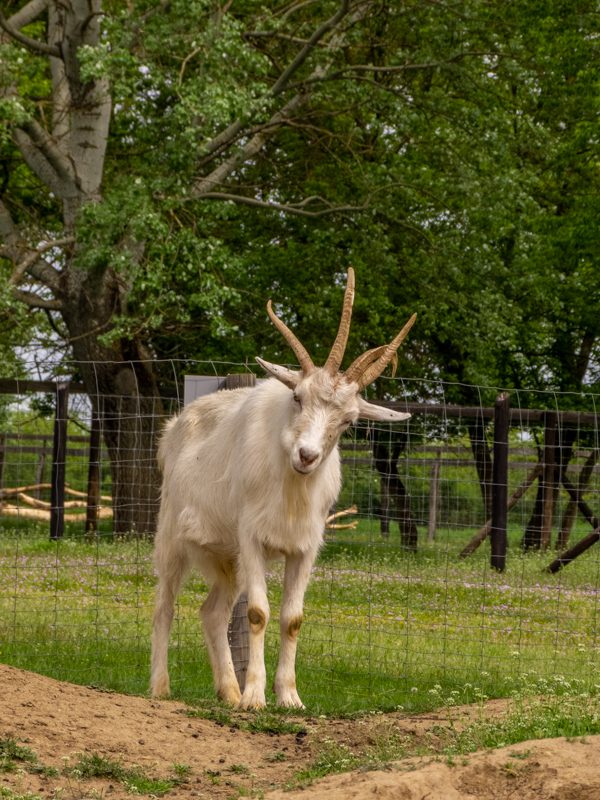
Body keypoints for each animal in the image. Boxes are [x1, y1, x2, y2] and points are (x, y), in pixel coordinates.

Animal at [150, 269, 416, 709]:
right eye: (297, 397)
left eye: (349, 421)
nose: (306, 456)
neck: (290, 487)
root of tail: (176, 424)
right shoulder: (251, 538)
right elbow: (258, 613)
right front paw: (255, 698)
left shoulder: (305, 547)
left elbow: (293, 619)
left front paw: (289, 697)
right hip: (173, 535)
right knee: (164, 604)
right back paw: (161, 687)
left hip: (226, 558)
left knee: (213, 612)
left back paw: (228, 691)